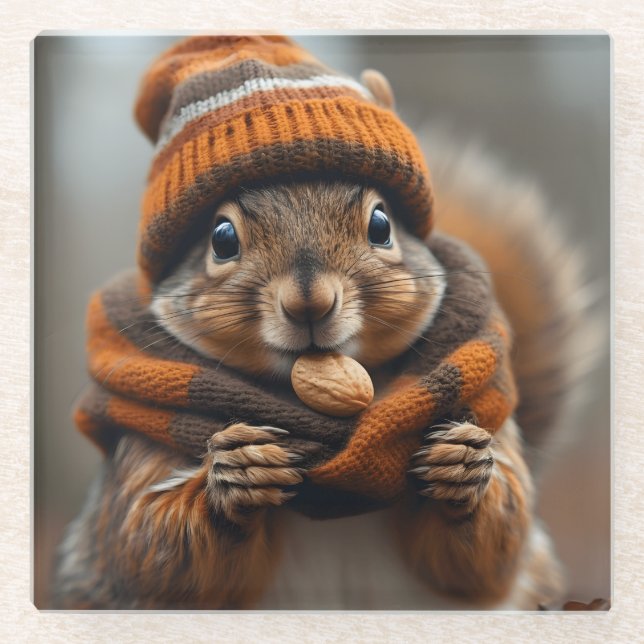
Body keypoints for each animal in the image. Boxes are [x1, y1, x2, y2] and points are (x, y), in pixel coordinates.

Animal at [52, 43, 598, 610]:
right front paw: (233, 476)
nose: (309, 302)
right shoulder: (140, 454)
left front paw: (465, 468)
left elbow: (487, 555)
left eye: (382, 224)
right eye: (221, 238)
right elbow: (150, 545)